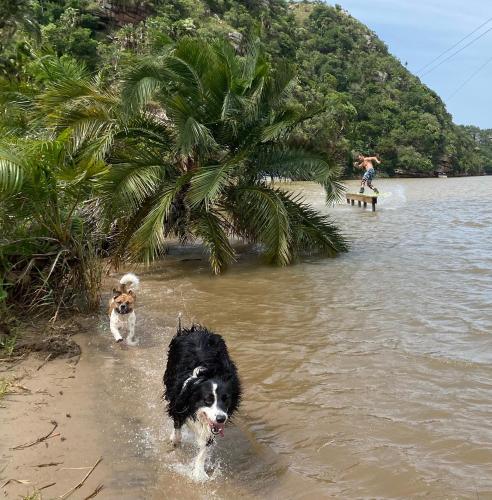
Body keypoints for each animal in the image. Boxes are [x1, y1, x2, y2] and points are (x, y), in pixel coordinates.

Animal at [164, 322, 241, 478]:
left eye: (226, 399)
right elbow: (177, 425)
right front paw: (174, 441)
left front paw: (199, 473)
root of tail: (196, 330)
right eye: (208, 400)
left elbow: (206, 444)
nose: (221, 419)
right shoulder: (178, 401)